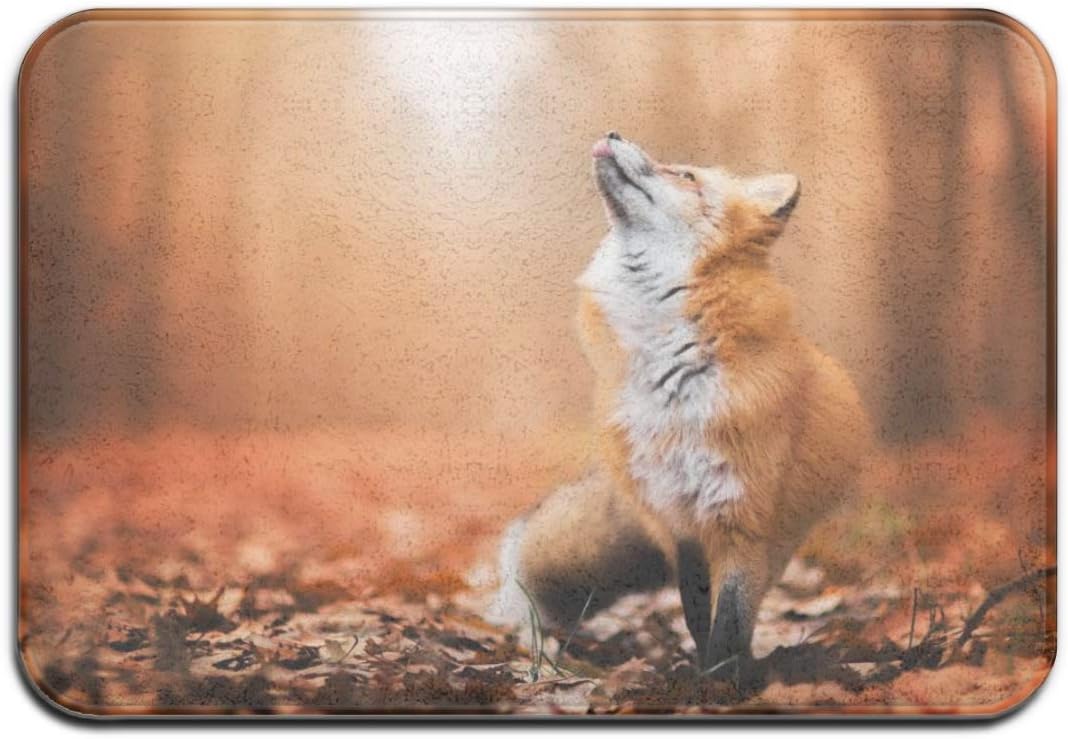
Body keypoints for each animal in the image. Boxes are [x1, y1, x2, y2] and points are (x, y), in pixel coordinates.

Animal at [491, 132, 872, 675]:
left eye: (685, 175)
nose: (612, 133)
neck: (672, 382)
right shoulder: (677, 518)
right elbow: (697, 613)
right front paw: (702, 674)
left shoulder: (741, 514)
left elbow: (730, 620)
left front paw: (722, 681)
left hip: (779, 536)